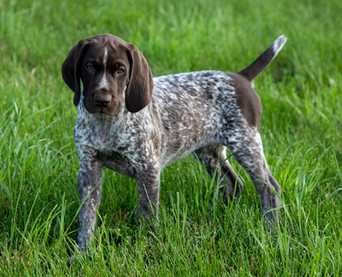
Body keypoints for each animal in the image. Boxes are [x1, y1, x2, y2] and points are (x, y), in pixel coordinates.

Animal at [61, 33, 286, 251]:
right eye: (89, 67)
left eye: (121, 70)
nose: (102, 99)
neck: (106, 124)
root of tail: (241, 76)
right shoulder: (89, 168)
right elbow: (87, 214)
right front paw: (83, 251)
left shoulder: (148, 167)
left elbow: (147, 211)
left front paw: (146, 247)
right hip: (209, 151)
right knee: (231, 181)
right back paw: (213, 215)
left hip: (245, 143)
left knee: (269, 188)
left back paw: (271, 233)